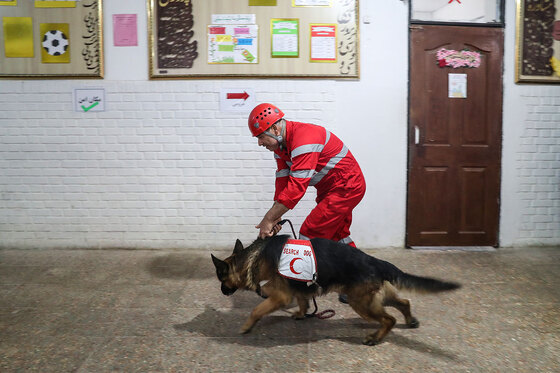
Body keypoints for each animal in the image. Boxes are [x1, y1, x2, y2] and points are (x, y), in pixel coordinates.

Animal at [210, 234, 460, 344]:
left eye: (220, 277)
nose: (221, 291)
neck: (253, 259)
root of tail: (376, 262)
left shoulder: (279, 296)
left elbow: (256, 310)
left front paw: (246, 326)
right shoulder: (298, 291)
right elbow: (303, 301)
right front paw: (301, 314)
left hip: (361, 302)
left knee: (389, 319)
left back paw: (375, 337)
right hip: (376, 297)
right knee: (404, 303)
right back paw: (410, 320)